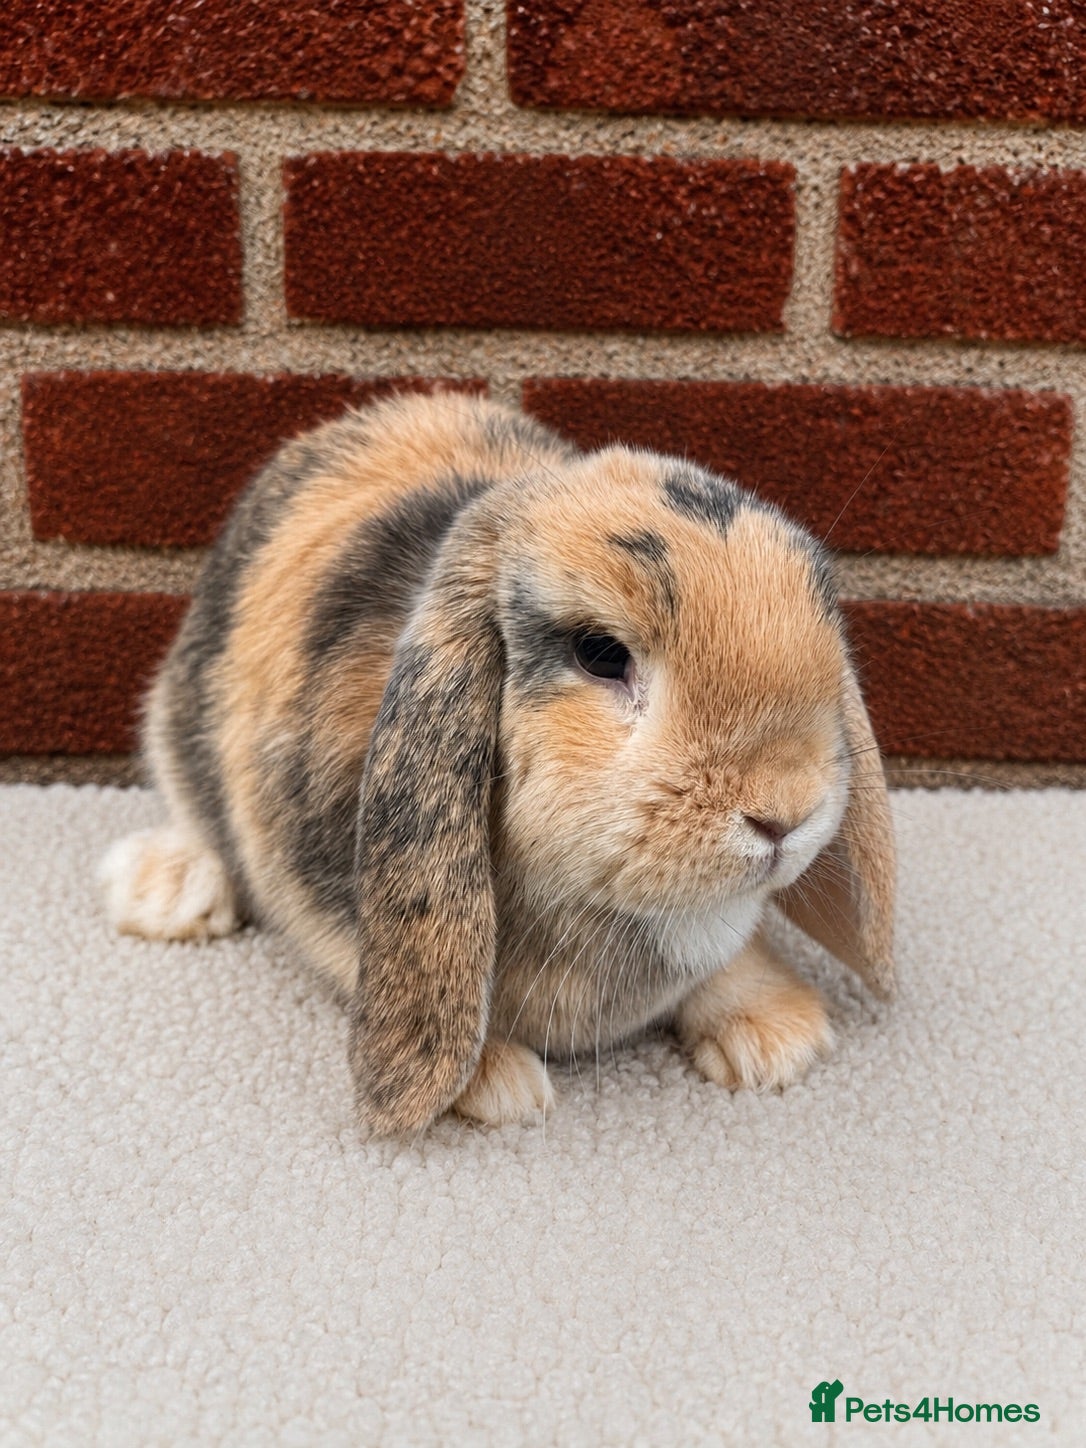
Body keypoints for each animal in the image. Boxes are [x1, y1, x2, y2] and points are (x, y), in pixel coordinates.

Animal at [100, 390, 895, 1135]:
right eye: (600, 653)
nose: (784, 813)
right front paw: (498, 1085)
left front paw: (778, 1037)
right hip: (176, 720)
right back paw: (166, 891)